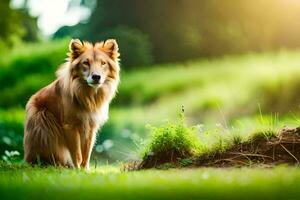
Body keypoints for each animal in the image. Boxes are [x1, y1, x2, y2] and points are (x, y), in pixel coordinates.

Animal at [23, 38, 119, 169]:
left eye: (103, 63)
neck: (89, 95)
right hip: (42, 119)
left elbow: (86, 152)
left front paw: (85, 170)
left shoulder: (91, 126)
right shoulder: (70, 126)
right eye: (86, 63)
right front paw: (77, 169)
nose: (96, 77)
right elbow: (77, 153)